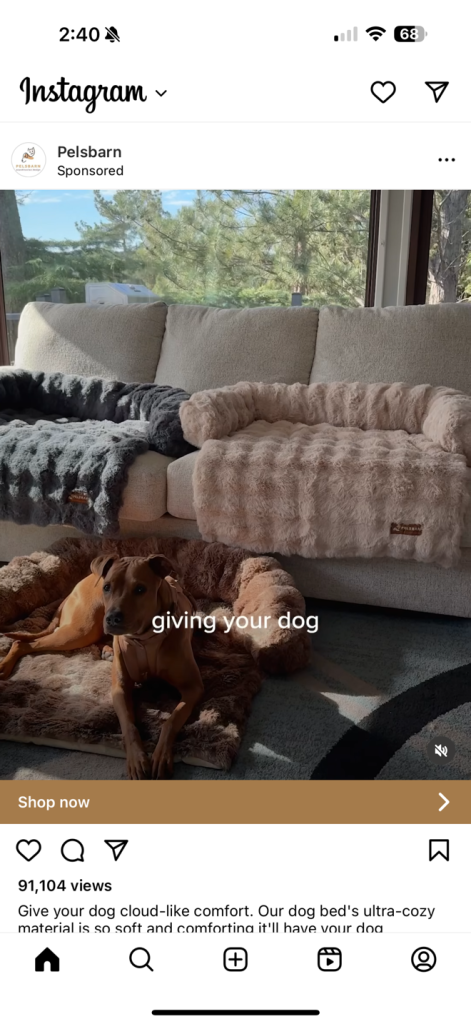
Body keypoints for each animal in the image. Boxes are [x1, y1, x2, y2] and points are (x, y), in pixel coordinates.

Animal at [0, 554, 204, 780]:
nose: (113, 618)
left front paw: (161, 756)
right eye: (107, 587)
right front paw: (137, 759)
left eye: (140, 589)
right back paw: (5, 666)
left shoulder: (193, 688)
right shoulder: (120, 688)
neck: (145, 639)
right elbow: (129, 725)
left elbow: (171, 721)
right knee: (23, 643)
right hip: (81, 629)